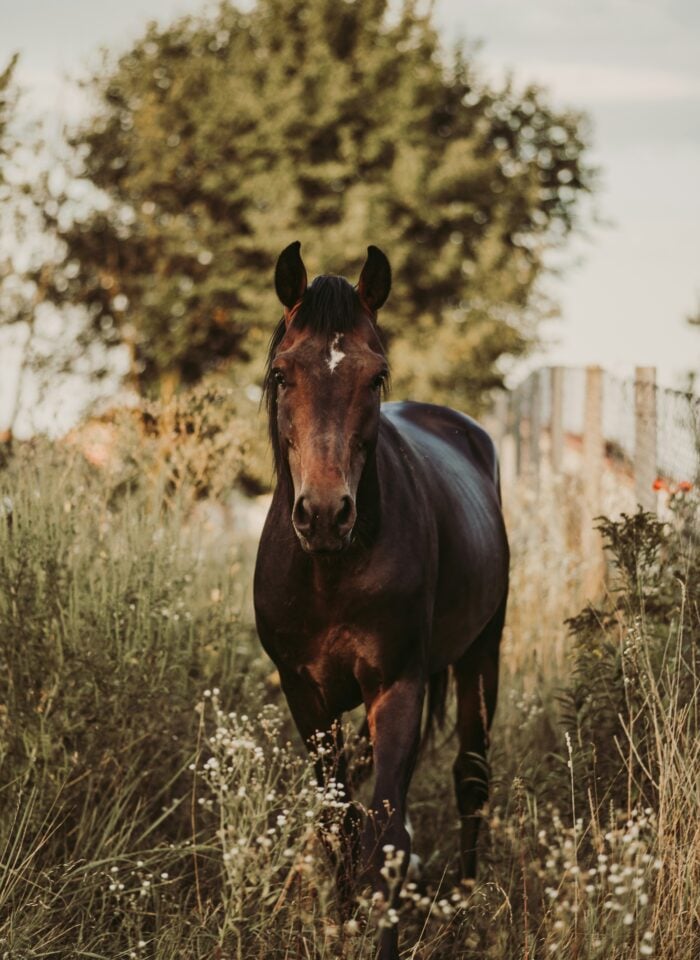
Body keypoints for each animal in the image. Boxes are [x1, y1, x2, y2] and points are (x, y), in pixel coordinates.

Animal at [254, 241, 509, 960]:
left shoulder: (397, 686)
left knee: (471, 779)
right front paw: (339, 924)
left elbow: (387, 839)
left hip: (482, 654)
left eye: (376, 377)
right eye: (282, 374)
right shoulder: (305, 695)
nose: (323, 514)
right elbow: (338, 822)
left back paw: (467, 906)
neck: (330, 570)